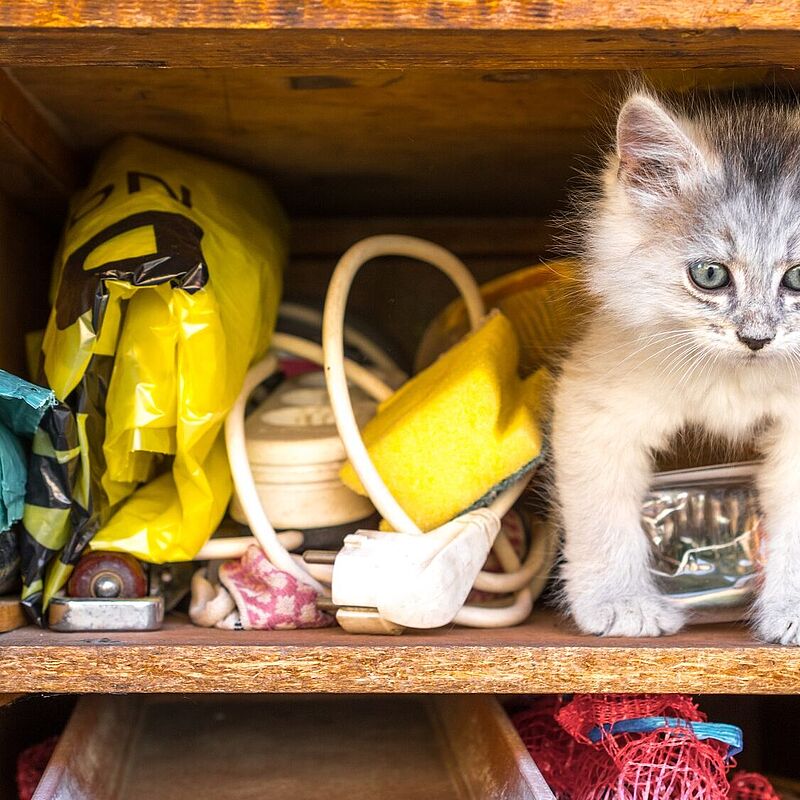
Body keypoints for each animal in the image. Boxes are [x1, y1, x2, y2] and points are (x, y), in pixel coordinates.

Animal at [552, 92, 800, 644]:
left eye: (798, 278)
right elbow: (602, 520)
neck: (738, 376)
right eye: (709, 275)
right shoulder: (594, 407)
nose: (756, 339)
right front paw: (622, 604)